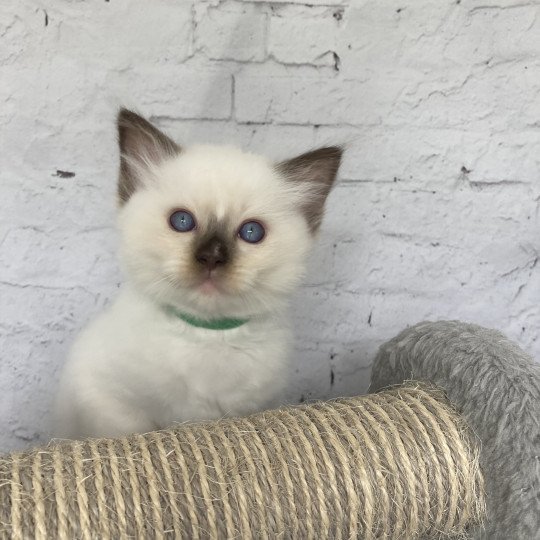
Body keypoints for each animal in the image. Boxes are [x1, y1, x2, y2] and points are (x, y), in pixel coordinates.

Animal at [54, 109, 342, 438]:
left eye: (251, 232)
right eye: (182, 221)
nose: (211, 258)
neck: (207, 336)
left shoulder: (256, 407)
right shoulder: (111, 402)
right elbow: (133, 433)